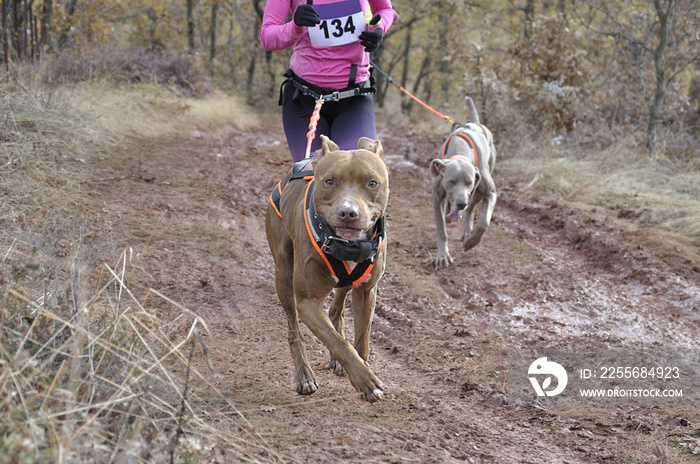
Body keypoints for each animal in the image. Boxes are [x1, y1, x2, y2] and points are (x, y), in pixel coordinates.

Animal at [266, 135, 392, 402]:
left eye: (372, 183)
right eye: (330, 181)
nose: (348, 212)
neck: (348, 246)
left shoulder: (367, 292)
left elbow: (362, 339)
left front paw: (363, 367)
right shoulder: (307, 302)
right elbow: (338, 342)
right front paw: (365, 380)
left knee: (338, 306)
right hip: (283, 275)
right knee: (294, 330)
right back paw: (304, 375)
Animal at [430, 98, 494, 270]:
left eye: (469, 182)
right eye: (451, 181)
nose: (460, 203)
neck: (460, 152)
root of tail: (475, 123)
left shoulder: (489, 192)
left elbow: (484, 222)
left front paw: (472, 241)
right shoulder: (437, 196)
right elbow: (441, 229)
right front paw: (443, 255)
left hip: (478, 190)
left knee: (471, 208)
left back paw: (467, 231)